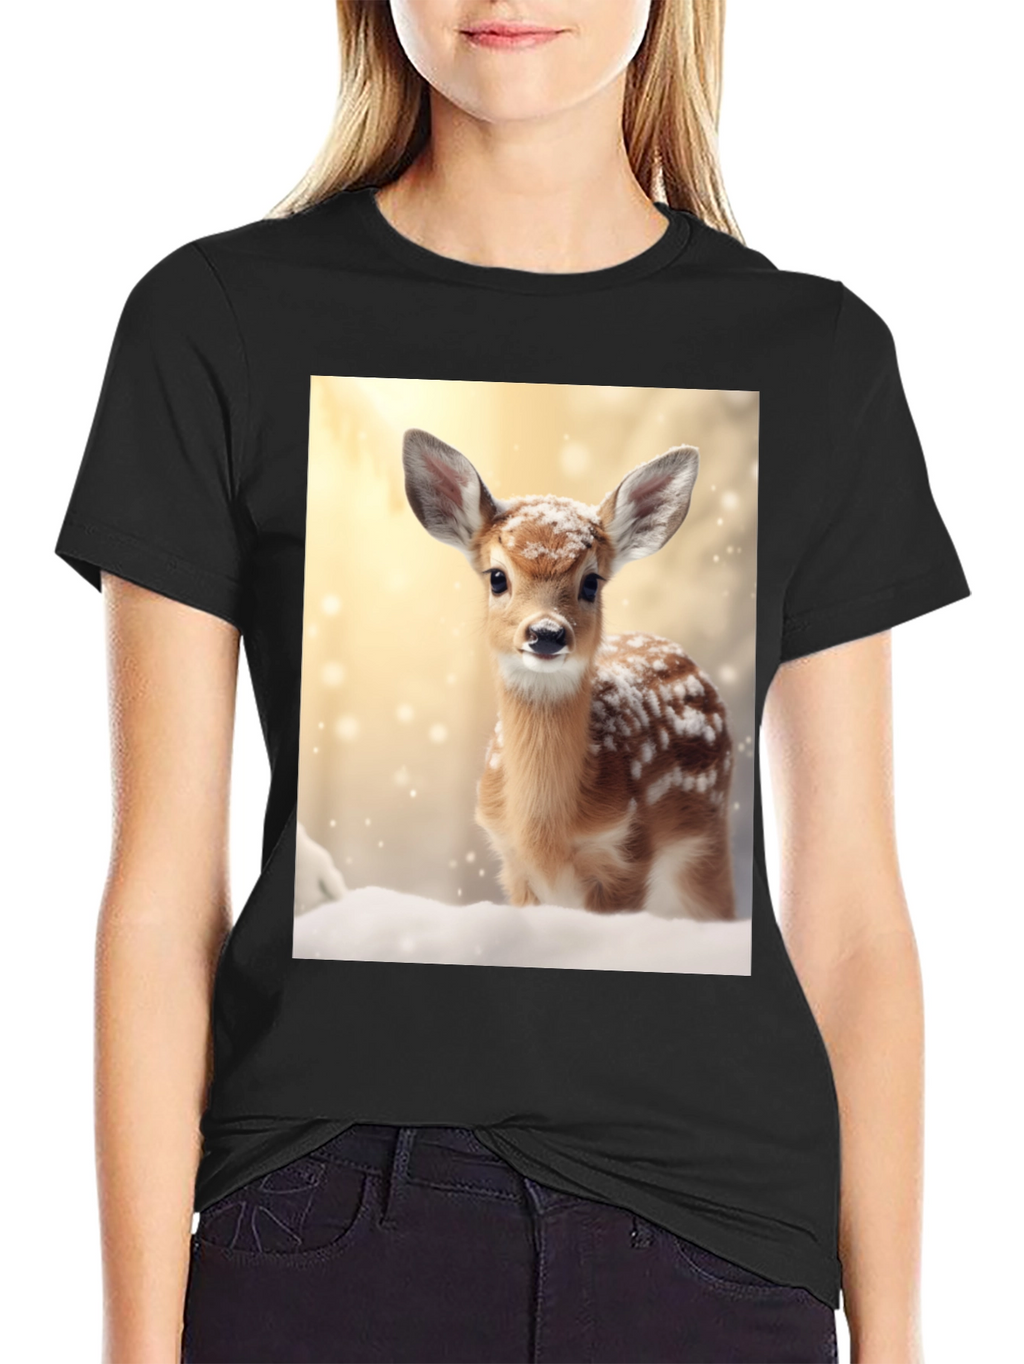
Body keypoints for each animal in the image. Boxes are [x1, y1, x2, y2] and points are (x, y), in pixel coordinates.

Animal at [402, 428, 736, 921]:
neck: (545, 835)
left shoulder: (626, 853)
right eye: (497, 577)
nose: (546, 633)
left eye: (591, 583)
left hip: (707, 841)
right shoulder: (513, 864)